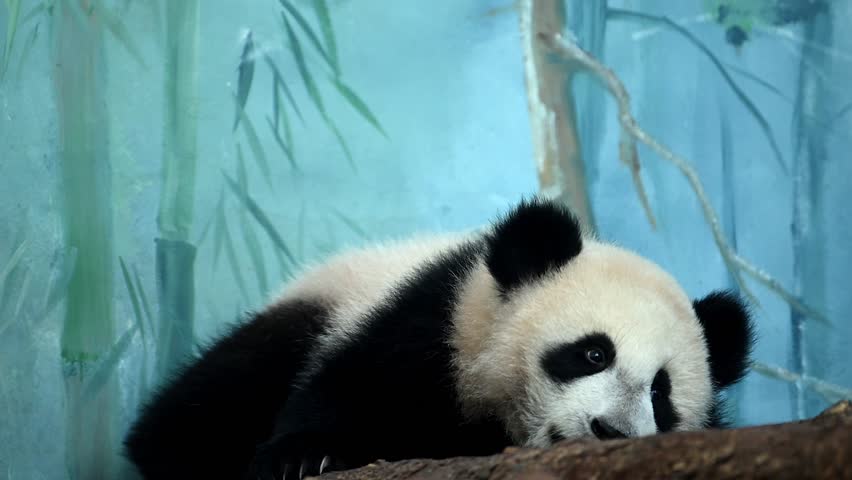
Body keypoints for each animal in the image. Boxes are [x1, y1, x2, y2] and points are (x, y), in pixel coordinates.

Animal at [124, 198, 754, 480]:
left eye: (661, 393)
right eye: (593, 353)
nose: (611, 432)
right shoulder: (431, 324)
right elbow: (350, 388)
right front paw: (303, 456)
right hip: (304, 314)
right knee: (194, 412)